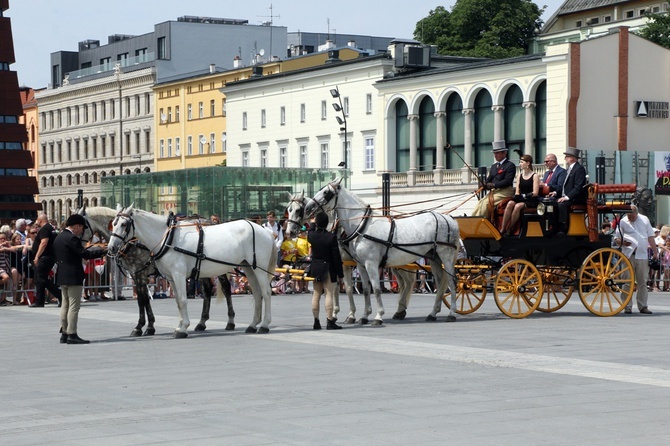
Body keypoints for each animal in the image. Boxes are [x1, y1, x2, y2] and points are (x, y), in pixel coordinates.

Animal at [109, 207, 276, 336]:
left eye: (124, 224)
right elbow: (177, 301)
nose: (111, 248)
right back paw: (252, 325)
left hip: (258, 268)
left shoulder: (175, 275)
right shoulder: (170, 277)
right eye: (113, 224)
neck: (168, 239)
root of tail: (264, 230)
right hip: (248, 268)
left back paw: (263, 325)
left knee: (265, 293)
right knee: (256, 293)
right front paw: (178, 326)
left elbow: (181, 300)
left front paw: (182, 328)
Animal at [286, 192, 418, 324]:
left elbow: (347, 288)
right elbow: (337, 288)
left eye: (298, 210)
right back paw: (400, 309)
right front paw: (335, 313)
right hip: (397, 263)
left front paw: (350, 315)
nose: (289, 232)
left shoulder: (344, 264)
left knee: (408, 281)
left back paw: (401, 309)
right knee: (405, 283)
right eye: (289, 209)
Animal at [304, 178, 462, 324]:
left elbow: (376, 288)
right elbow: (366, 289)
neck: (362, 226)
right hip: (434, 258)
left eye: (326, 192)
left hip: (446, 256)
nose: (308, 207)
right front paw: (364, 315)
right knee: (439, 282)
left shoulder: (371, 264)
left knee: (452, 283)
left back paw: (452, 313)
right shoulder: (360, 265)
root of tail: (449, 218)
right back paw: (432, 313)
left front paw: (378, 316)